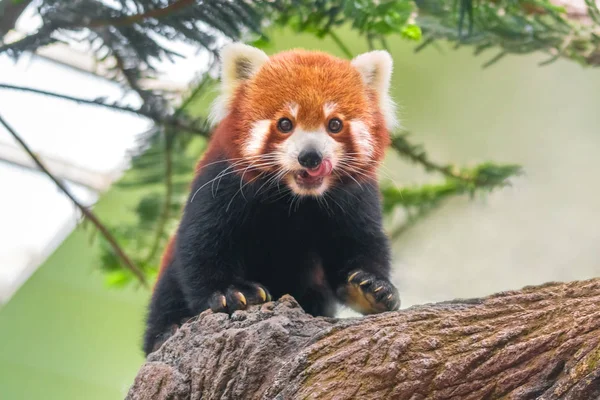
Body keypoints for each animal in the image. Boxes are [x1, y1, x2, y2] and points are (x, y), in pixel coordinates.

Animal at [143, 44, 400, 356]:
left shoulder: (355, 196)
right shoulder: (222, 183)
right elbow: (203, 242)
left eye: (335, 124)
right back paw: (166, 330)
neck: (295, 198)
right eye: (285, 124)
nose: (311, 157)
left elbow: (362, 240)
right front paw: (230, 291)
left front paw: (371, 287)